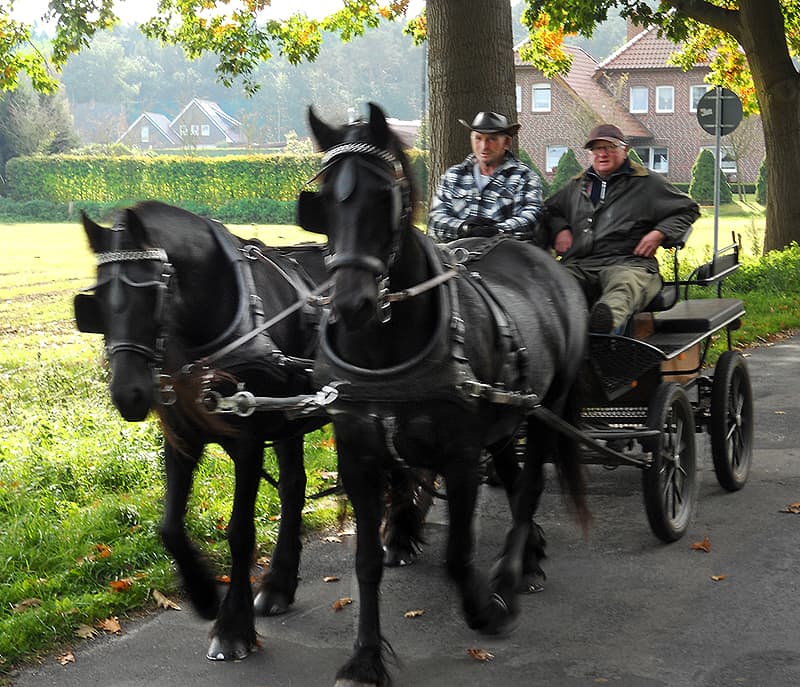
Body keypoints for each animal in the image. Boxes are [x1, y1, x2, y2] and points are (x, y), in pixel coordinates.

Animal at [296, 103, 592, 687]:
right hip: (505, 415)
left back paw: (511, 577)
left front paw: (485, 609)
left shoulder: (459, 456)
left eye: (384, 196)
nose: (352, 305)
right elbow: (365, 562)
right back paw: (530, 555)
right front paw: (365, 659)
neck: (386, 350)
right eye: (323, 198)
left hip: (545, 410)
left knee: (528, 488)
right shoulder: (359, 460)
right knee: (514, 475)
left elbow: (458, 553)